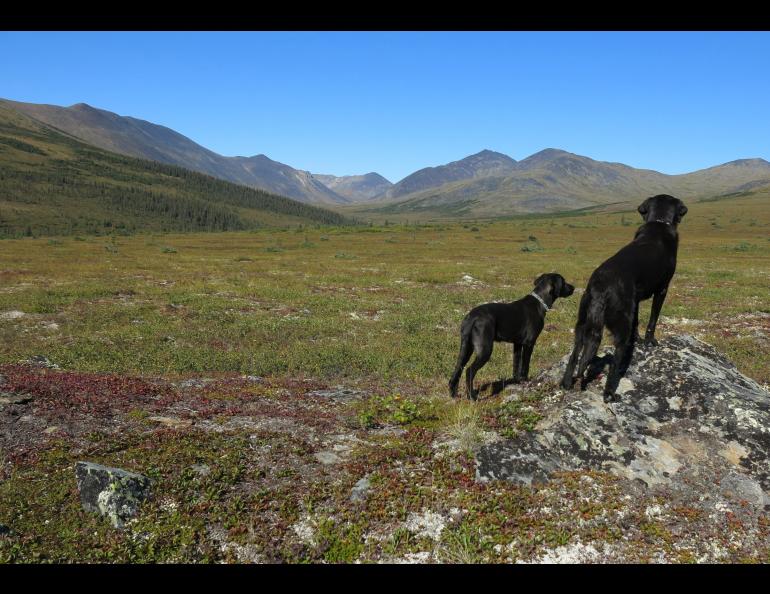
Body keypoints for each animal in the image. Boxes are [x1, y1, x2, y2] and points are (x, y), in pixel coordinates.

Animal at [448, 272, 572, 400]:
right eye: (564, 281)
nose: (573, 288)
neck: (539, 303)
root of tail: (472, 316)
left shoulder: (517, 344)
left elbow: (516, 365)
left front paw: (516, 381)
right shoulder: (529, 343)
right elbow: (525, 365)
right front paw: (525, 380)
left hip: (466, 348)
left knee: (457, 370)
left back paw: (454, 394)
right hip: (484, 350)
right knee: (469, 371)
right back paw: (472, 397)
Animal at [556, 193, 688, 398]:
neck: (659, 222)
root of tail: (600, 287)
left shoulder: (636, 299)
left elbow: (637, 321)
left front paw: (638, 339)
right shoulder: (662, 289)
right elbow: (652, 319)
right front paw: (649, 341)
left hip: (583, 321)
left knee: (574, 354)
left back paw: (567, 382)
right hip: (620, 322)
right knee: (615, 359)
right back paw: (610, 393)